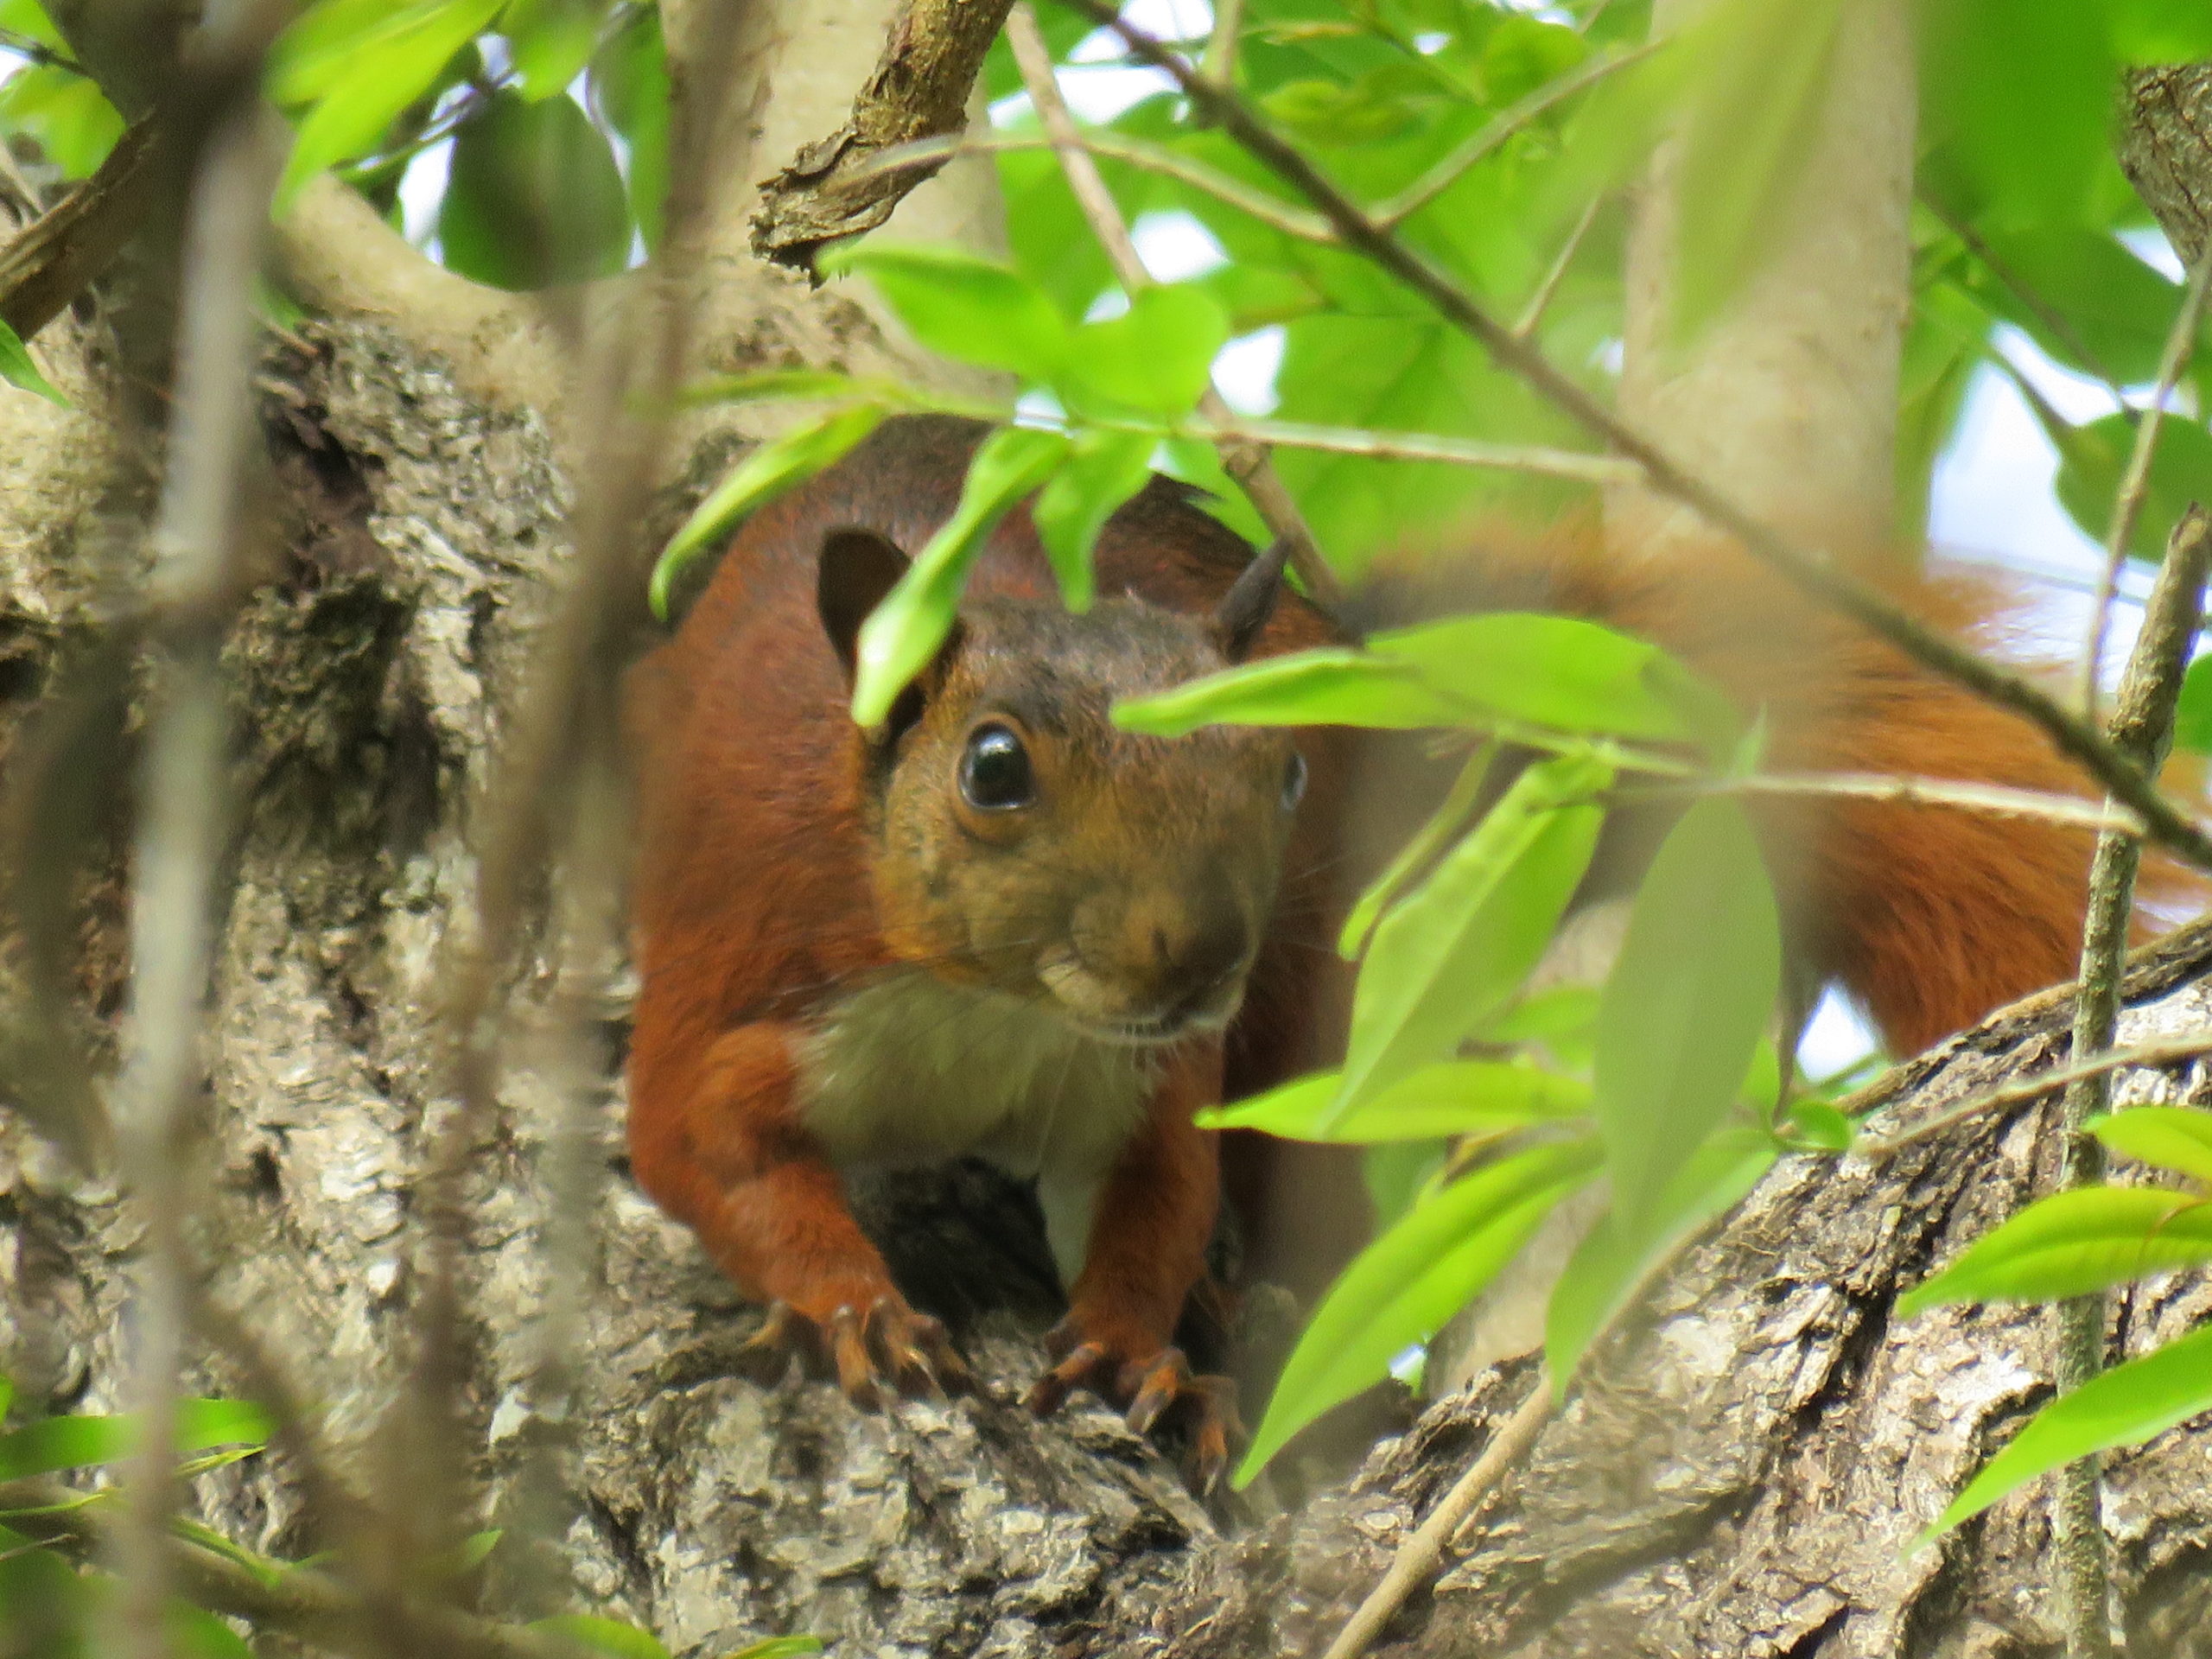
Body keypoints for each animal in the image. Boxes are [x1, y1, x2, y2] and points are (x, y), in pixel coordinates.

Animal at [628, 416, 2106, 1478]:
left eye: (1282, 768)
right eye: (992, 770)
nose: (1198, 957)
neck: (993, 1008)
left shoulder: (1145, 1077)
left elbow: (1159, 1197)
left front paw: (1135, 1349)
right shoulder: (746, 968)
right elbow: (702, 1149)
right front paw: (848, 1306)